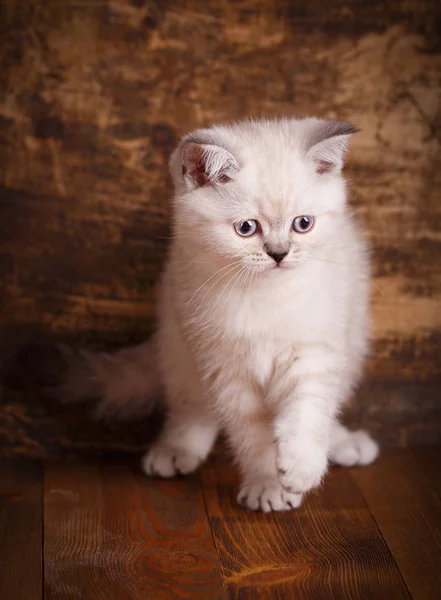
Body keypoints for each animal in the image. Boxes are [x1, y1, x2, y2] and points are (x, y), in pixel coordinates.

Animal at [61, 119, 378, 512]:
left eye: (303, 224)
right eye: (246, 228)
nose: (279, 254)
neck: (265, 295)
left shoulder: (313, 352)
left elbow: (306, 414)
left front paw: (299, 470)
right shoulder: (228, 368)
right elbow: (253, 436)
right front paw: (268, 483)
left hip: (352, 339)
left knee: (329, 405)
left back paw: (344, 445)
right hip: (178, 344)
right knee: (191, 406)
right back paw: (175, 451)